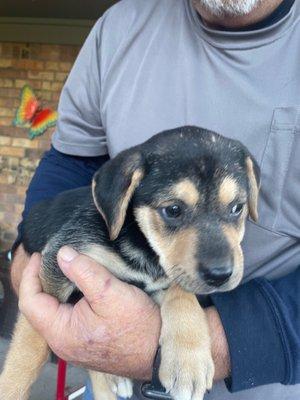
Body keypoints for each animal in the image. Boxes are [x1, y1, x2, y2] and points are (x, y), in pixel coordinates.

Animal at [0, 126, 258, 400]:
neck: (143, 245)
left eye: (237, 208)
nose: (220, 275)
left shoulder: (155, 283)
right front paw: (10, 388)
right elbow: (32, 343)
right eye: (173, 210)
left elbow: (182, 294)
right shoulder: (57, 261)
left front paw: (188, 360)